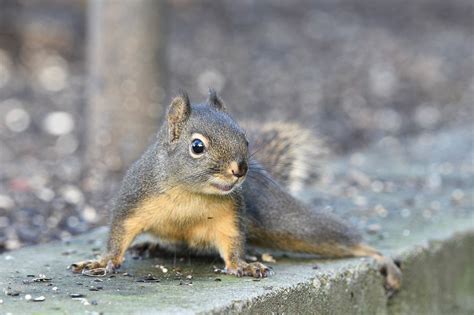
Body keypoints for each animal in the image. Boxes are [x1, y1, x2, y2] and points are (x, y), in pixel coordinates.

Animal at [72, 89, 402, 292]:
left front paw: (243, 266)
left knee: (328, 235)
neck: (190, 193)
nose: (241, 169)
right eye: (197, 146)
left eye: (244, 137)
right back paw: (153, 246)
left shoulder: (231, 215)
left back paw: (378, 256)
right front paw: (101, 261)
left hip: (284, 221)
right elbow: (119, 235)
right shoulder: (134, 200)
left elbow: (231, 243)